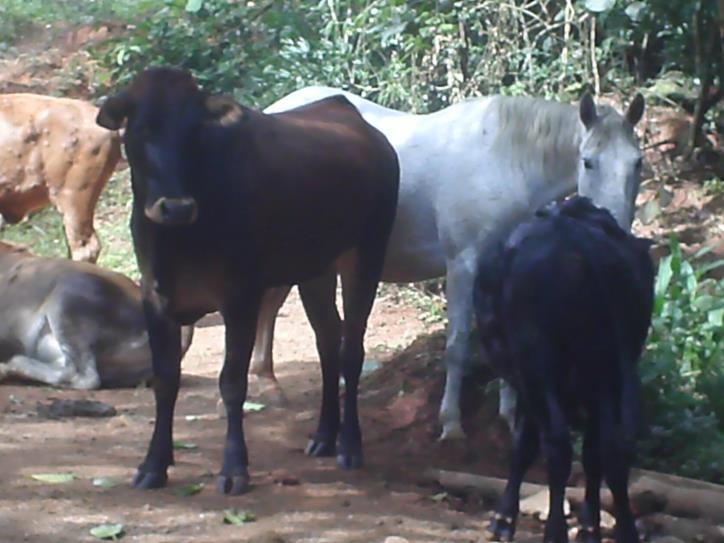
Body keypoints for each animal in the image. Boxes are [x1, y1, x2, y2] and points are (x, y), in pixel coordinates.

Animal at [94, 68, 402, 498]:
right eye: (141, 131)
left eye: (195, 132)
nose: (176, 207)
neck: (182, 239)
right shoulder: (155, 297)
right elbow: (165, 379)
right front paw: (153, 465)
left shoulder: (240, 296)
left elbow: (232, 383)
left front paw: (235, 468)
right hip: (315, 270)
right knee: (328, 339)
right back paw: (324, 435)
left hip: (366, 254)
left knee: (351, 349)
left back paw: (349, 445)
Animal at [255, 87, 644, 440]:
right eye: (588, 161)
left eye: (638, 163)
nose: (614, 232)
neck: (506, 163)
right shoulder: (463, 266)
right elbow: (457, 346)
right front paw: (451, 424)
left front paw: (509, 417)